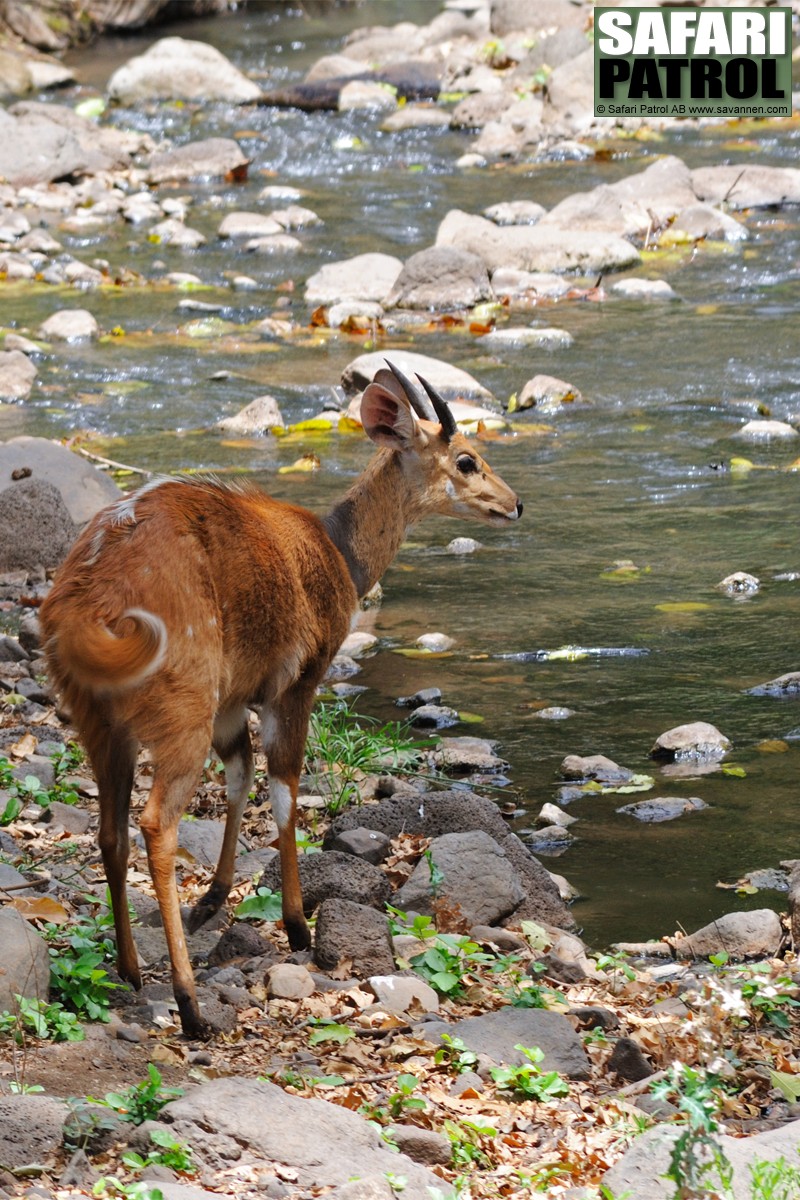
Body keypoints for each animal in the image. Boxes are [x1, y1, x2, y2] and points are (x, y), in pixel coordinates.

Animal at [40, 360, 522, 1036]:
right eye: (467, 459)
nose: (516, 503)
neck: (342, 558)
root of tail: (84, 605)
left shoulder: (234, 697)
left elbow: (241, 775)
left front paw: (213, 901)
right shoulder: (297, 678)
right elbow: (286, 788)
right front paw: (297, 927)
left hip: (101, 718)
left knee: (110, 830)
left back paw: (131, 970)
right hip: (181, 702)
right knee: (156, 822)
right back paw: (189, 1006)